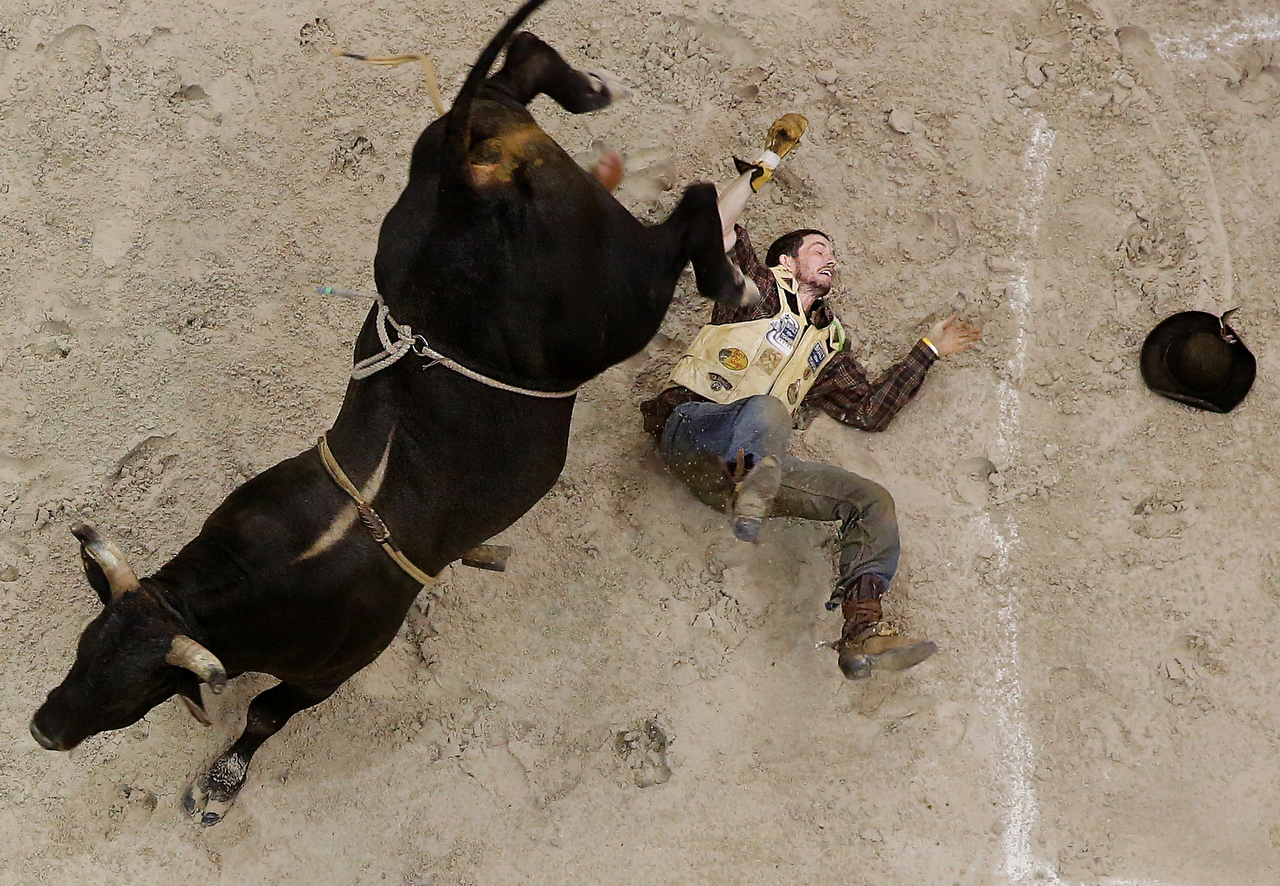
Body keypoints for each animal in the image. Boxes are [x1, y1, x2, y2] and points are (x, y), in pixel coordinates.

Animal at [27, 0, 747, 829]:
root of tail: (462, 184)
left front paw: (223, 780)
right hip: (464, 171)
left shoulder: (332, 669)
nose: (42, 730)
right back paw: (593, 89)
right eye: (82, 650)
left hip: (621, 299)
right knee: (520, 69)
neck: (263, 581)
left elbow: (265, 713)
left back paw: (732, 277)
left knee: (691, 206)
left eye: (130, 694)